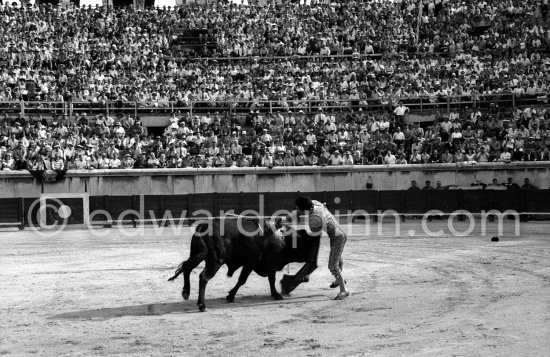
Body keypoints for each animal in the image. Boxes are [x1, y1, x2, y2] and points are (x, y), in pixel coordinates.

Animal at [169, 216, 324, 310]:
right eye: (306, 245)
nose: (313, 260)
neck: (283, 238)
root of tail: (203, 226)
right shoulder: (269, 264)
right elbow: (270, 280)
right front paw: (276, 295)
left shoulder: (249, 264)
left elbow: (241, 280)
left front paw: (230, 296)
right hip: (215, 261)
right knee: (203, 277)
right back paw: (202, 305)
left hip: (197, 255)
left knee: (187, 269)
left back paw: (186, 292)